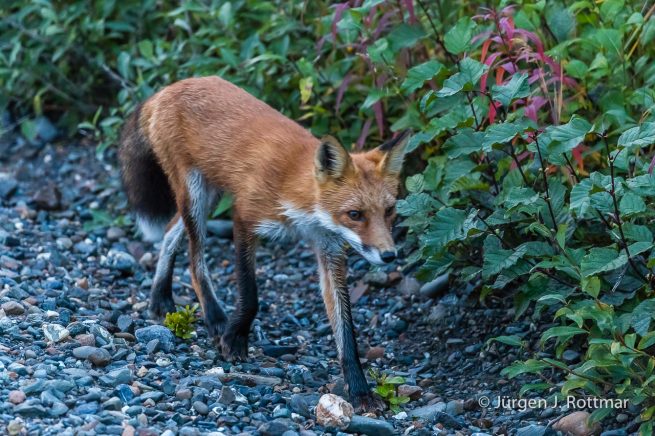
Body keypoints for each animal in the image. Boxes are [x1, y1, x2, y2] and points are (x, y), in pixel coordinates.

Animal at [118, 76, 411, 407]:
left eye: (389, 211)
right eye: (355, 214)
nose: (389, 256)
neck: (297, 197)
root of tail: (172, 86)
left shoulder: (330, 250)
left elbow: (346, 331)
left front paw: (360, 390)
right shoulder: (244, 219)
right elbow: (250, 295)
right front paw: (234, 339)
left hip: (209, 194)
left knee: (169, 233)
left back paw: (160, 297)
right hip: (195, 194)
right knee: (195, 262)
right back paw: (215, 317)